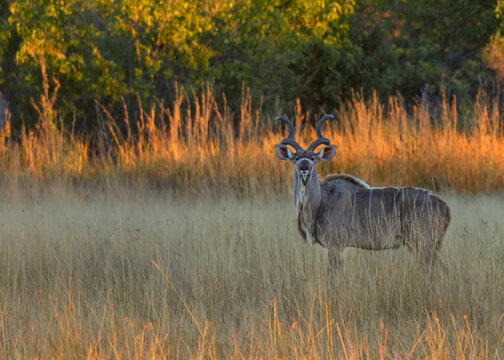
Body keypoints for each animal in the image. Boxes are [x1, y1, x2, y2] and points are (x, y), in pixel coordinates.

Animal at [276, 114, 452, 268]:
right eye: (296, 158)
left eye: (313, 158)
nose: (304, 167)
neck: (322, 201)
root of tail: (446, 208)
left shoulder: (335, 245)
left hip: (422, 244)